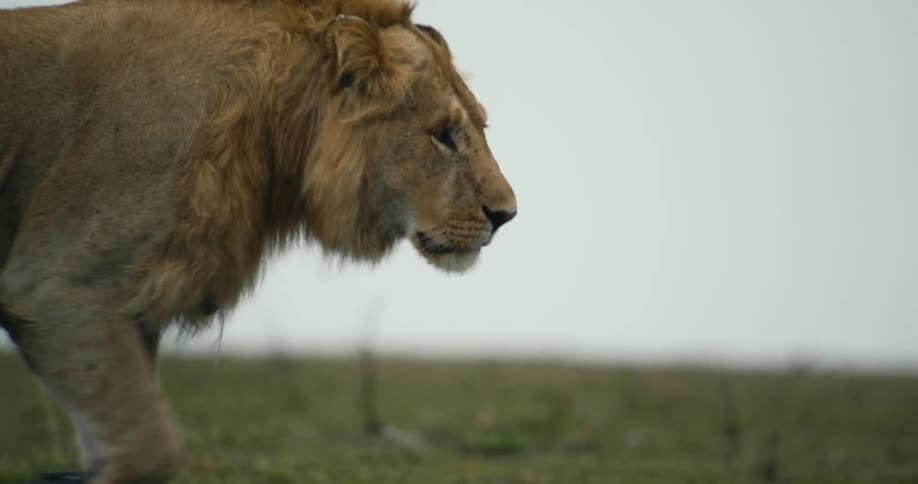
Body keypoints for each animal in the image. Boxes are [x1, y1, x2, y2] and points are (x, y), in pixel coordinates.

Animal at [0, 0, 517, 482]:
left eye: (480, 126)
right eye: (443, 136)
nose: (507, 214)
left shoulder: (128, 306)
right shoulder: (57, 284)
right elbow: (152, 445)